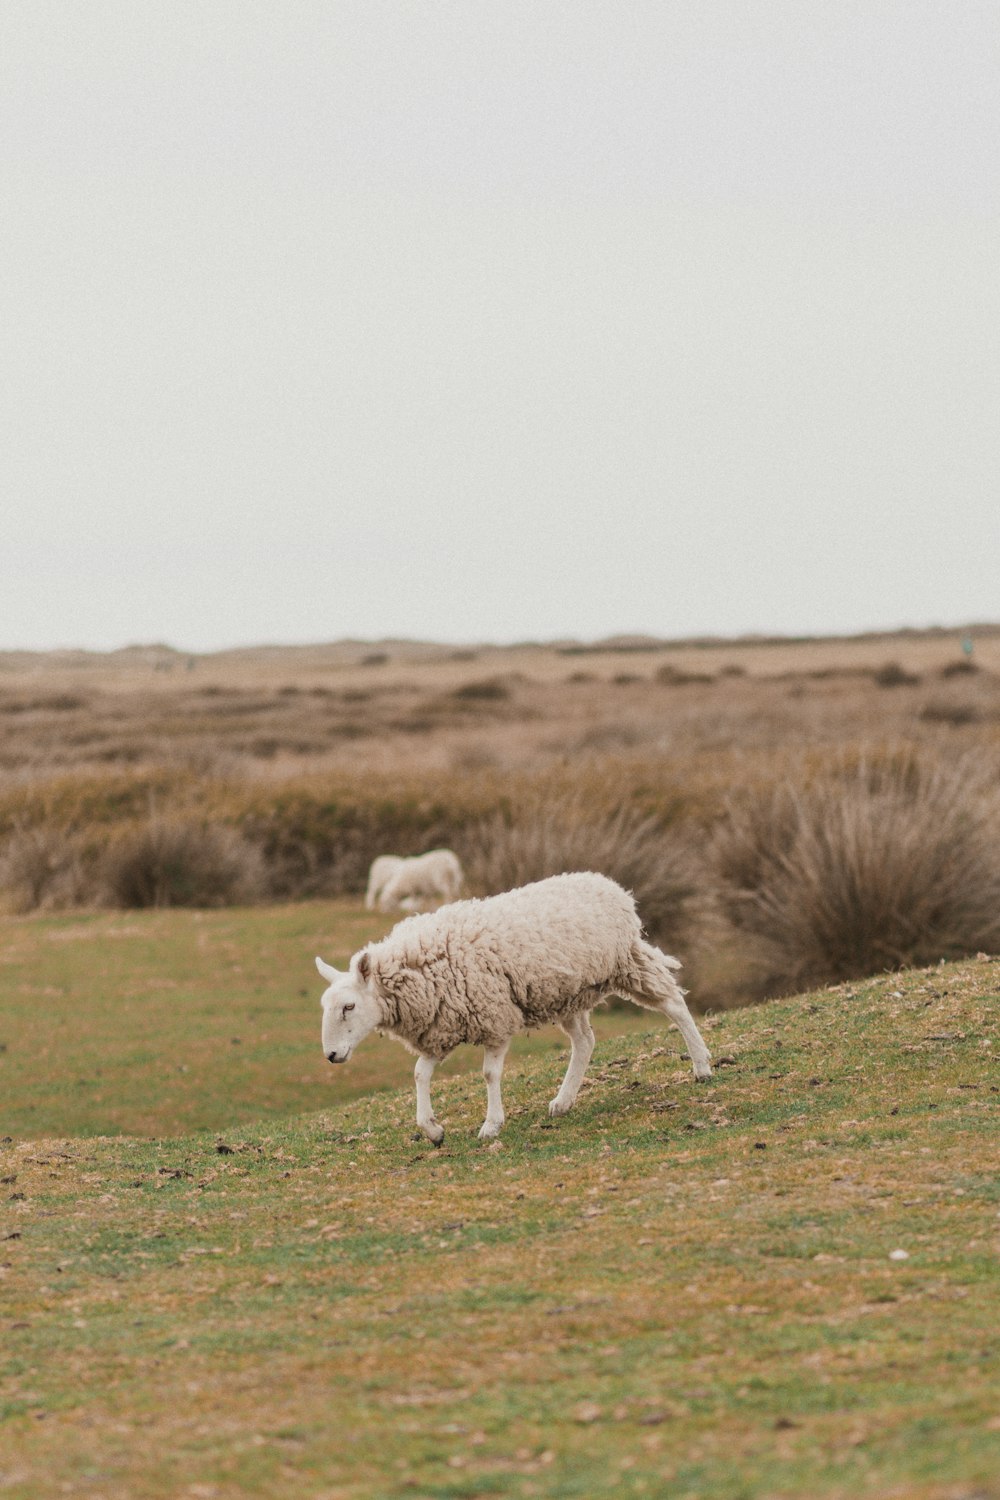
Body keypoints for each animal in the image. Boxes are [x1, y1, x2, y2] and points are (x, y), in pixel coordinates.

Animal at [316, 876, 716, 1140]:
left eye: (348, 1006)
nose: (331, 1055)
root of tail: (610, 886)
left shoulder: (494, 1017)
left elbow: (489, 1075)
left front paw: (491, 1125)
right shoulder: (442, 1028)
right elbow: (418, 1074)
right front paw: (432, 1129)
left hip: (625, 962)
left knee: (674, 1003)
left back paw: (702, 1066)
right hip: (568, 992)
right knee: (584, 1041)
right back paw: (563, 1101)